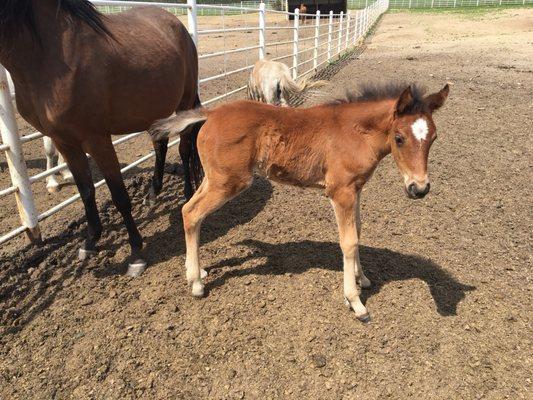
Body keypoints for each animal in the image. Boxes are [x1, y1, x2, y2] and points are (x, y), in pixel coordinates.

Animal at [0, 0, 202, 276]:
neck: (49, 54)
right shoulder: (64, 141)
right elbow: (86, 191)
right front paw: (90, 241)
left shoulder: (97, 139)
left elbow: (119, 196)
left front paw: (136, 254)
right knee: (160, 144)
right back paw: (152, 193)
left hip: (184, 101)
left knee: (184, 148)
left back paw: (188, 193)